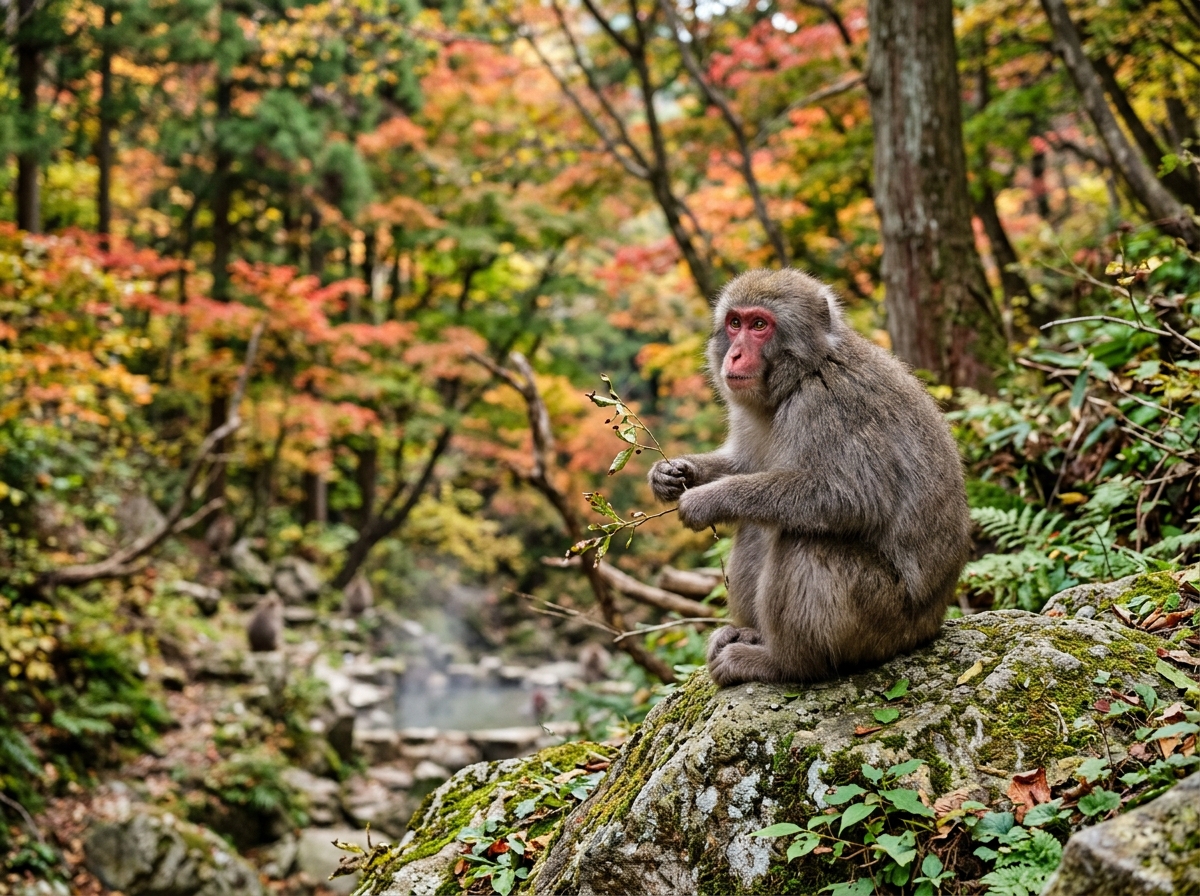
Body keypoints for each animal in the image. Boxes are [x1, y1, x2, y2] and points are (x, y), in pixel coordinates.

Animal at [648, 269, 970, 687]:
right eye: (735, 323)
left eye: (759, 325)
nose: (734, 354)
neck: (805, 371)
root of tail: (932, 623)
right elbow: (748, 465)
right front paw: (673, 474)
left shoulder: (829, 404)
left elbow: (852, 497)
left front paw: (707, 500)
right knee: (758, 527)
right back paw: (751, 634)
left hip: (885, 620)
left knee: (805, 539)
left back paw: (782, 663)